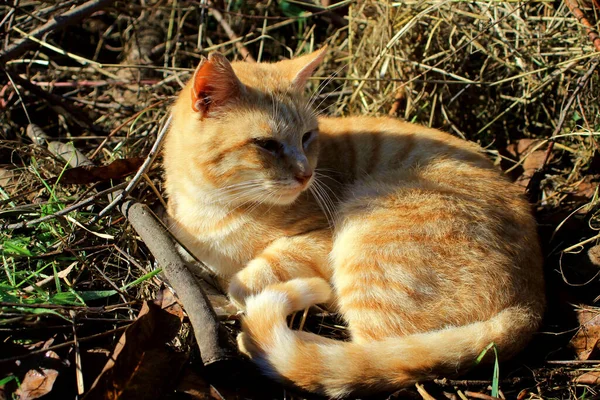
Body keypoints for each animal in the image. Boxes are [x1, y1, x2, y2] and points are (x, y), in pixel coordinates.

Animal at [163, 47, 544, 396]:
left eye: (307, 137)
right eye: (267, 144)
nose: (306, 174)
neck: (212, 210)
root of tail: (530, 303)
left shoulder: (318, 240)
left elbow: (246, 281)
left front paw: (228, 298)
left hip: (366, 238)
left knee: (367, 358)